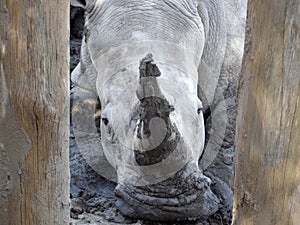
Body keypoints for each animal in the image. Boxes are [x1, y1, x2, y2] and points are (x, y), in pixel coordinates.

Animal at [70, 0, 246, 221]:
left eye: (198, 110)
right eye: (105, 121)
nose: (165, 207)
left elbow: (227, 129)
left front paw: (222, 190)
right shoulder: (83, 74)